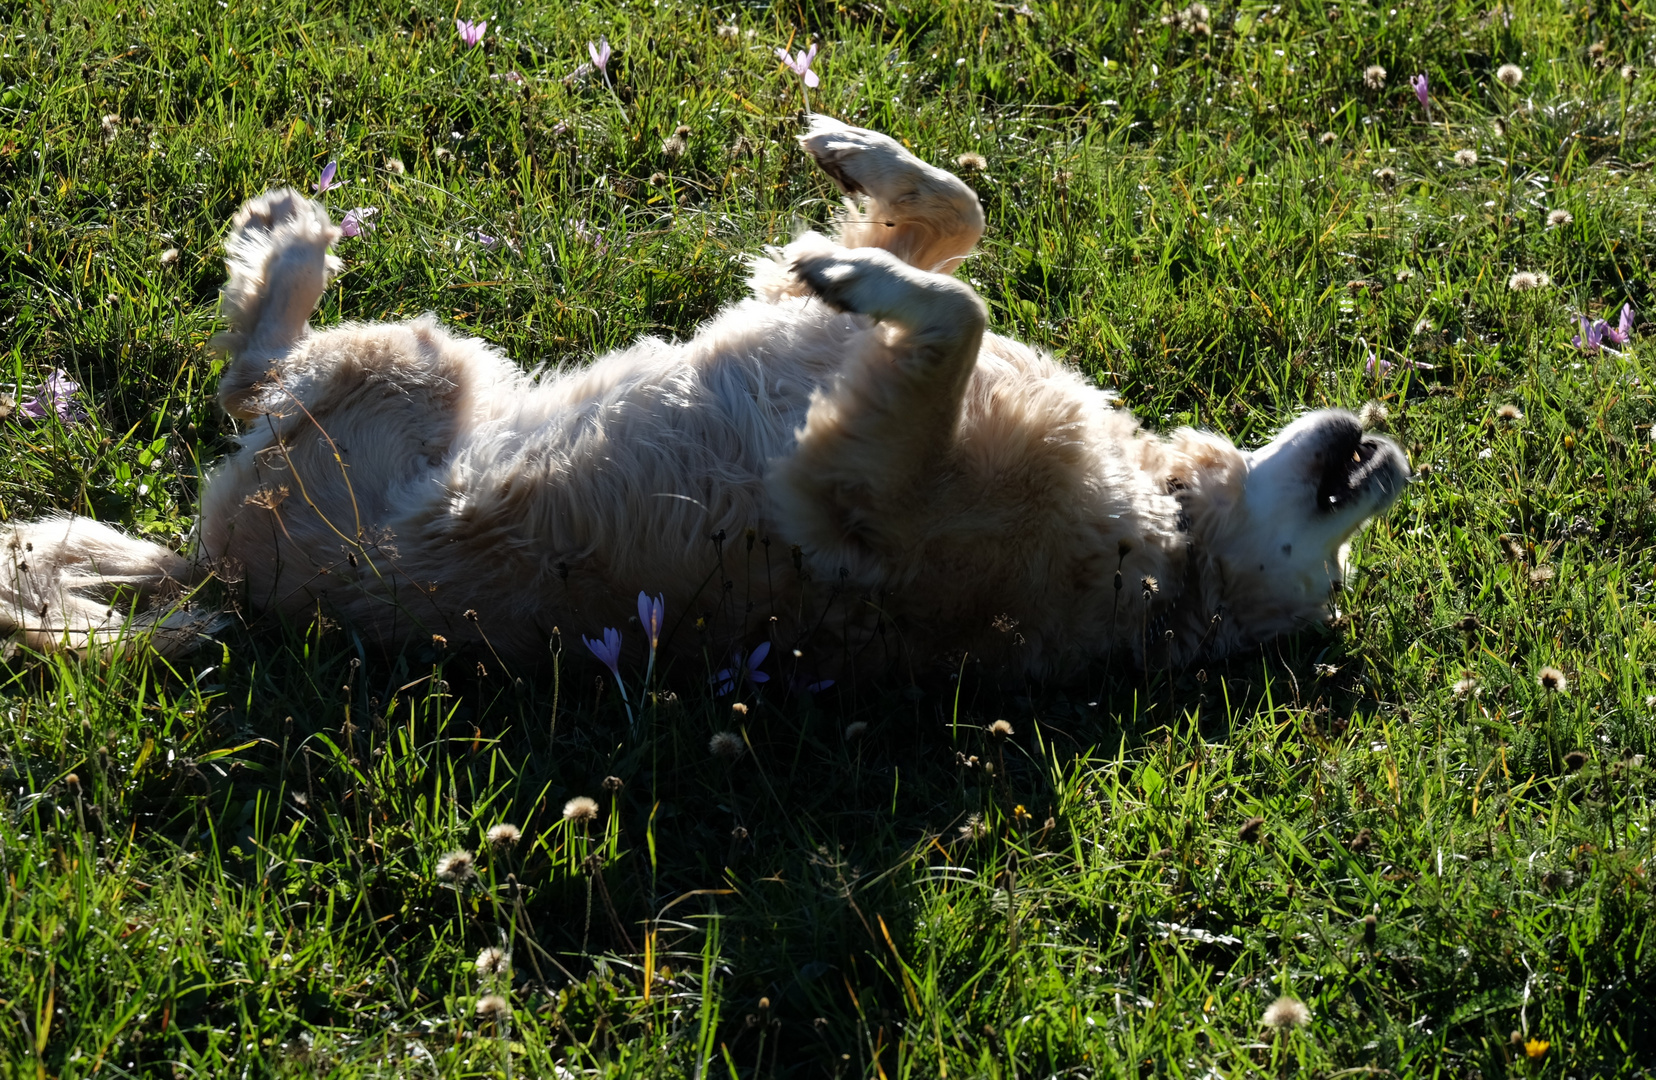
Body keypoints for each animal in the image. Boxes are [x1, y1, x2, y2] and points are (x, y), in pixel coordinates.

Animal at [0, 115, 1404, 682]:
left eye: (1324, 589)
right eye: (1344, 559)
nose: (1395, 459)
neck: (1163, 545)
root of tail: (214, 571)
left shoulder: (862, 489)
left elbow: (952, 314)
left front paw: (864, 270)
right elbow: (954, 221)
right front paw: (857, 165)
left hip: (407, 369)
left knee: (247, 371)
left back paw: (288, 240)